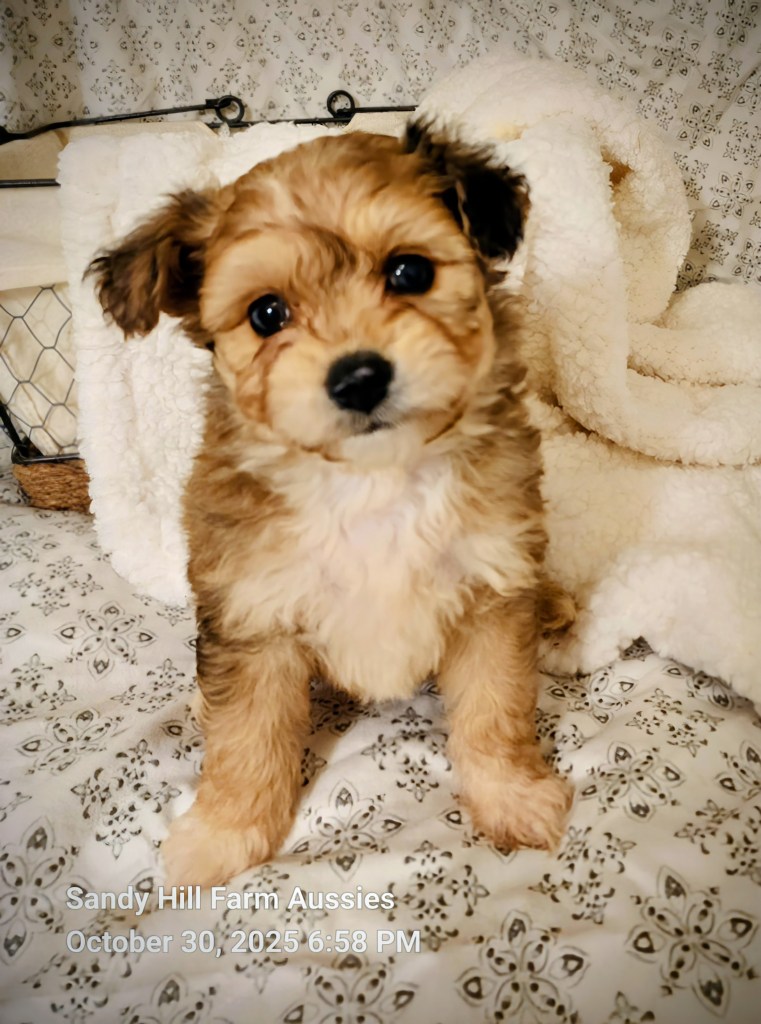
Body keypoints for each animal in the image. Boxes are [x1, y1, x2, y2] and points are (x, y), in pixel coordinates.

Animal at [89, 122, 574, 886]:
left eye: (409, 273)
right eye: (266, 314)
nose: (358, 377)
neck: (369, 480)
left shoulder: (490, 592)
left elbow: (495, 710)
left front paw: (510, 797)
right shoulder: (253, 617)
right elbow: (246, 738)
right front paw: (222, 836)